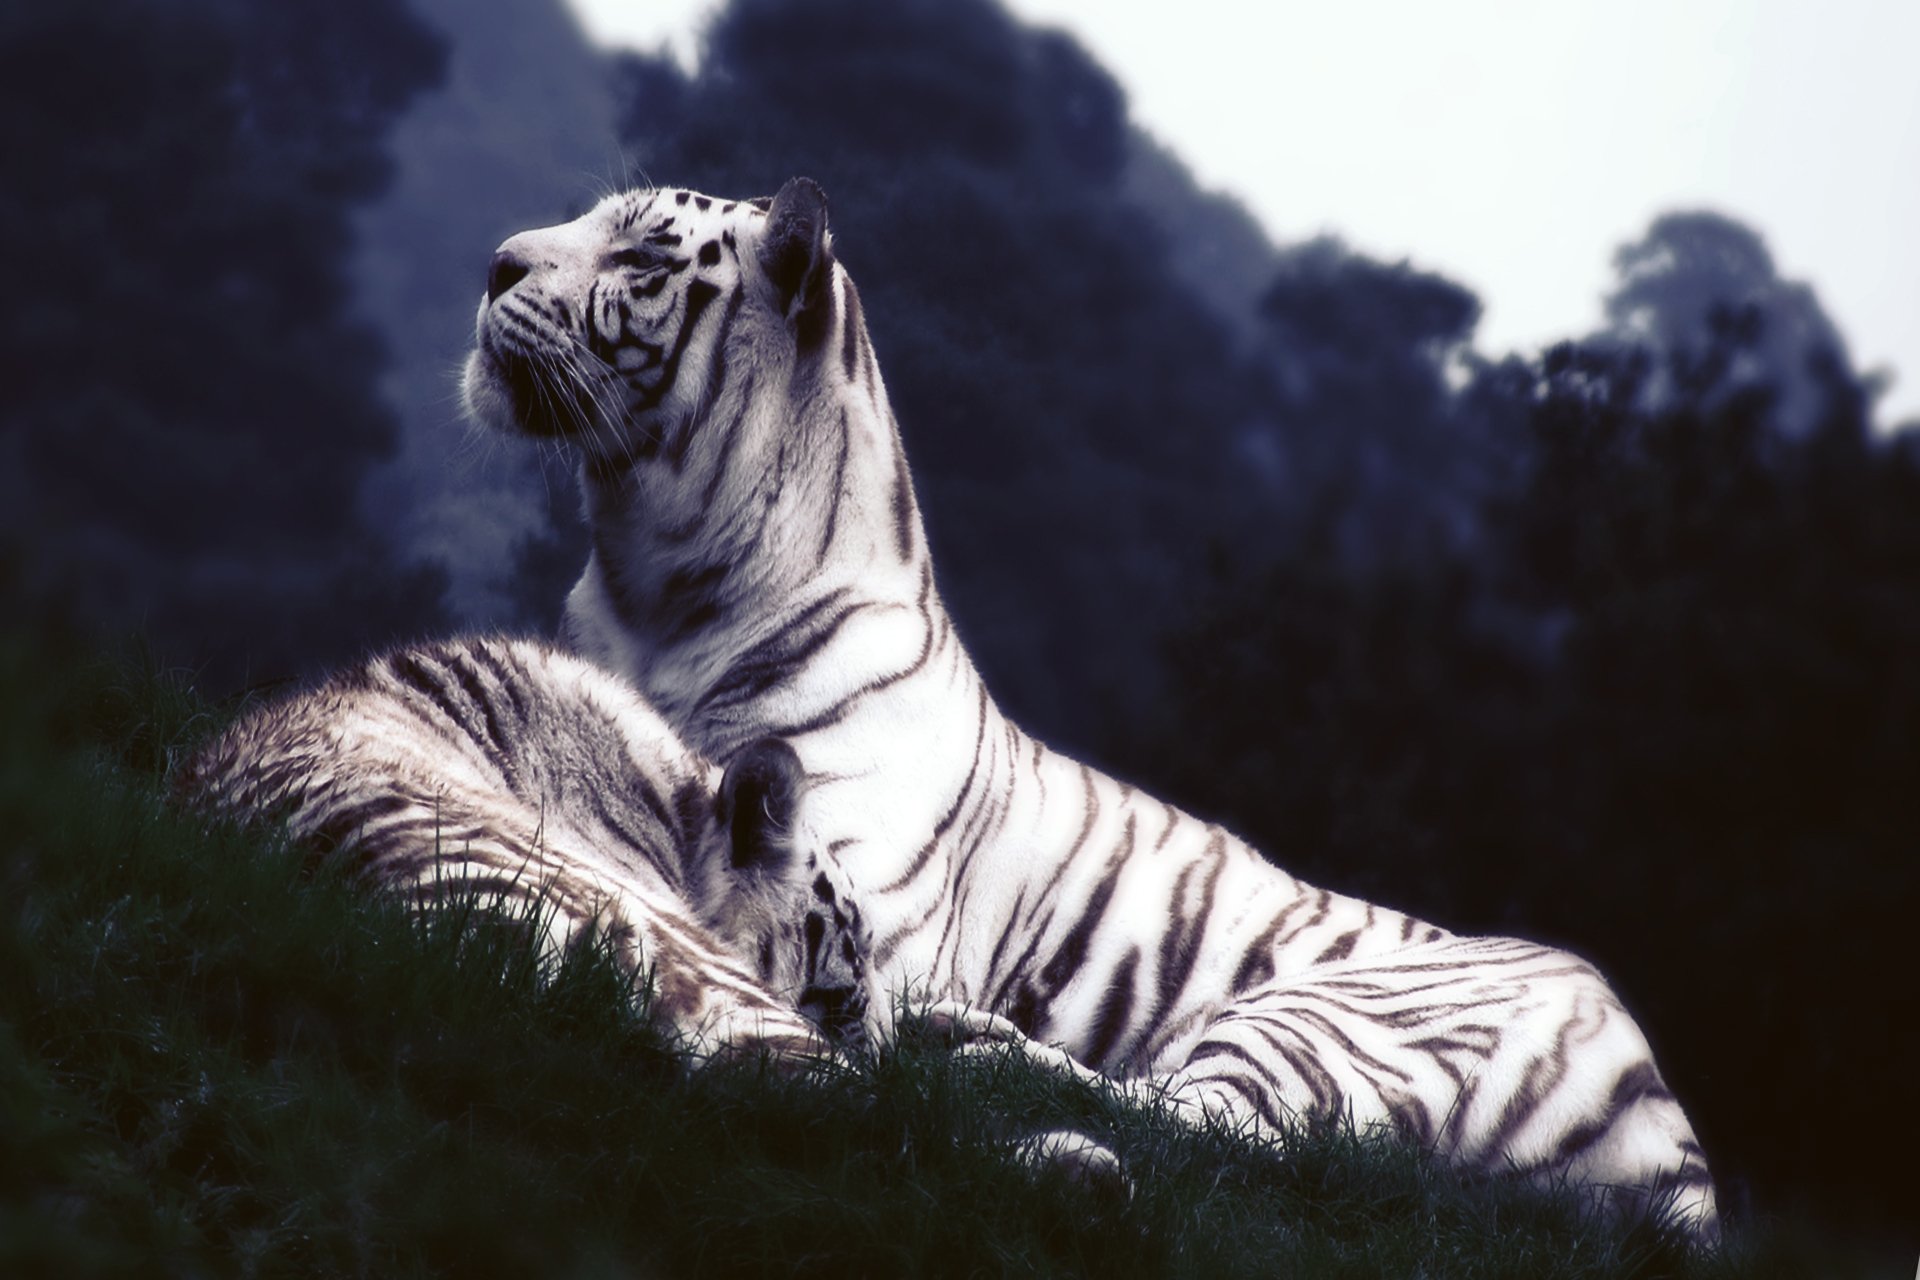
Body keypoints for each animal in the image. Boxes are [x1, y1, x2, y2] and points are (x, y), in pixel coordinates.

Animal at [461, 179, 1719, 1237]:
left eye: (641, 251)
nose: (494, 260)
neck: (653, 587)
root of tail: (1681, 1141)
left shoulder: (854, 897)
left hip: (1334, 1016)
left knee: (1209, 1126)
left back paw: (972, 1054)